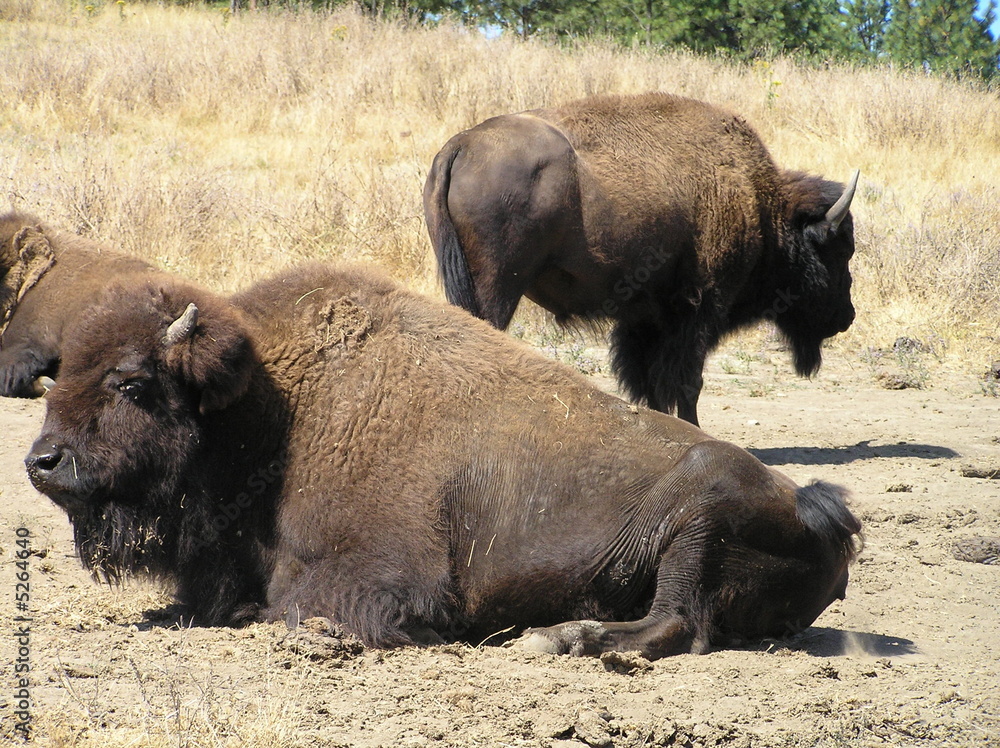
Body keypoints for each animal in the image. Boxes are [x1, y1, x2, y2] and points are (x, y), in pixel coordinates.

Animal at [25, 263, 861, 659]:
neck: (274, 407)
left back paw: (563, 638)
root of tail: (816, 511)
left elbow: (298, 604)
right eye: (60, 375)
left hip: (699, 518)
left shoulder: (382, 578)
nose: (43, 462)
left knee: (677, 623)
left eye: (132, 382)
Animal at [424, 92, 860, 425]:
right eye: (839, 251)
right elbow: (686, 380)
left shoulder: (645, 315)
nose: (847, 316)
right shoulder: (700, 307)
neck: (759, 202)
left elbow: (647, 380)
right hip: (497, 289)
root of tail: (459, 146)